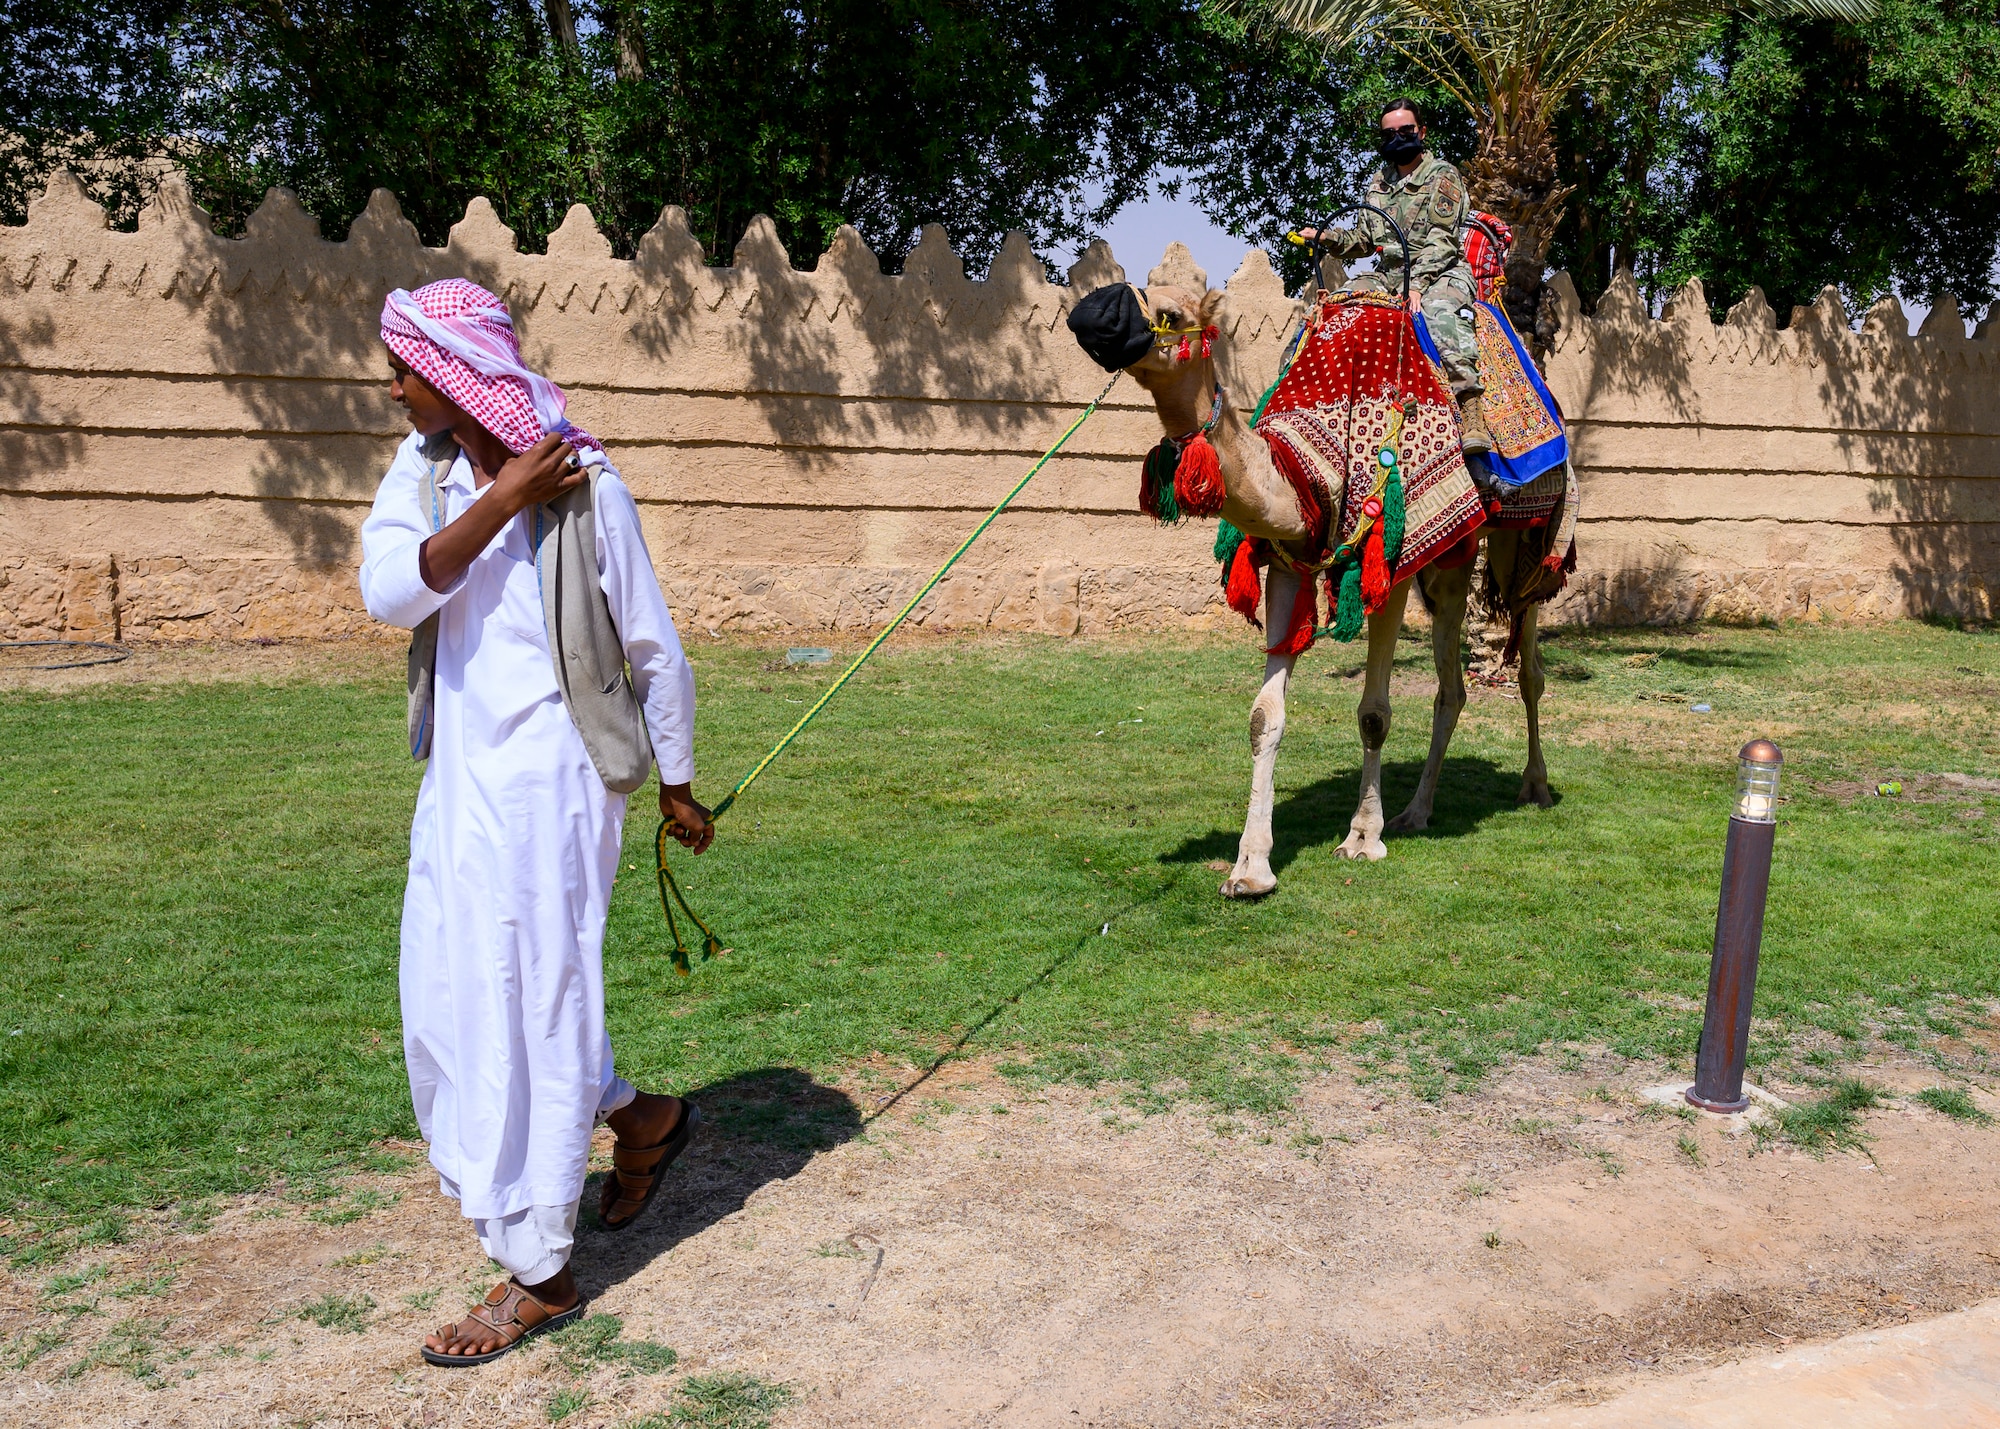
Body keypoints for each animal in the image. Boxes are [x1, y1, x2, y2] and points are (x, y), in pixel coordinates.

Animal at [1120, 280, 1552, 888]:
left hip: (1525, 541)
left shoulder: (1389, 564)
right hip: (1451, 562)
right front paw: (1250, 869)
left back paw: (1534, 787)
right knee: (1452, 684)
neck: (1305, 469)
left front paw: (1362, 838)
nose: (1097, 320)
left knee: (1530, 664)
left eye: (1170, 313)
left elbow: (1374, 714)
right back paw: (1416, 812)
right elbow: (1263, 716)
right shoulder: (1290, 559)